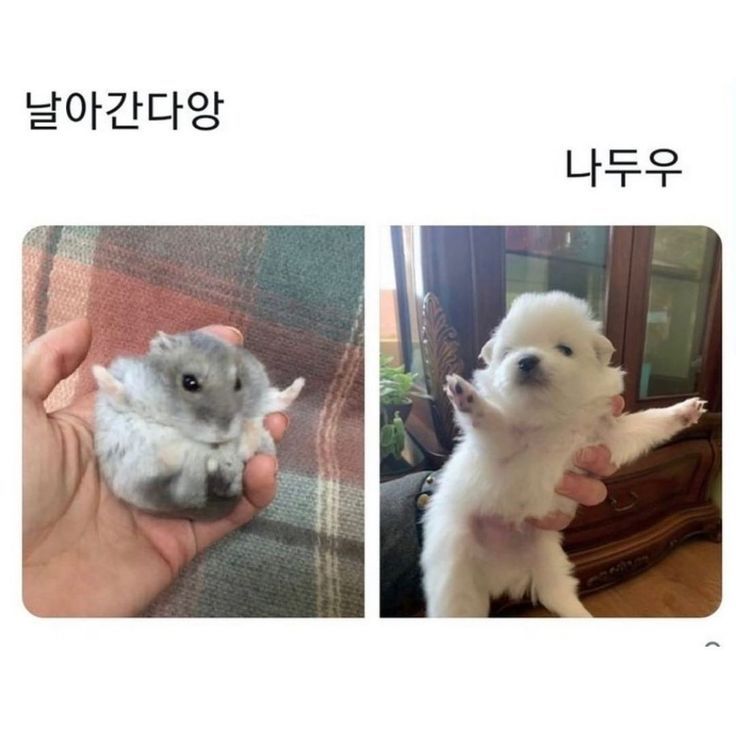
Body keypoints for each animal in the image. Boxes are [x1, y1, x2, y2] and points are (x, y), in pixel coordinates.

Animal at [92, 330, 304, 521]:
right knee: (176, 491)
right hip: (137, 480)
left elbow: (263, 411)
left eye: (238, 382)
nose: (223, 434)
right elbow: (123, 396)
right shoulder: (134, 391)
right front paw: (97, 370)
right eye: (189, 382)